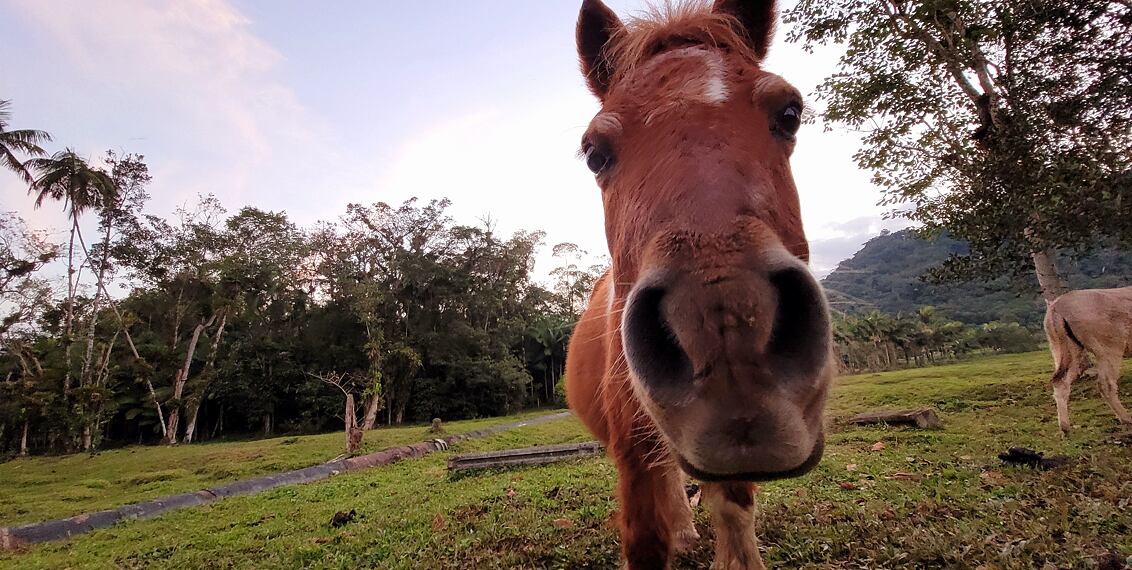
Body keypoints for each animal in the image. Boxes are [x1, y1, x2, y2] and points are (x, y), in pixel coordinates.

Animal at [563, 2, 833, 567]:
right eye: (595, 152)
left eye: (789, 114)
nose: (724, 325)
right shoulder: (633, 458)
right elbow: (647, 539)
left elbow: (733, 511)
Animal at [1041, 287, 1132, 434]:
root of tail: (1056, 306)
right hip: (1109, 348)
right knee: (1106, 385)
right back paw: (1127, 419)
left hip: (1062, 349)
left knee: (1060, 382)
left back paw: (1065, 428)